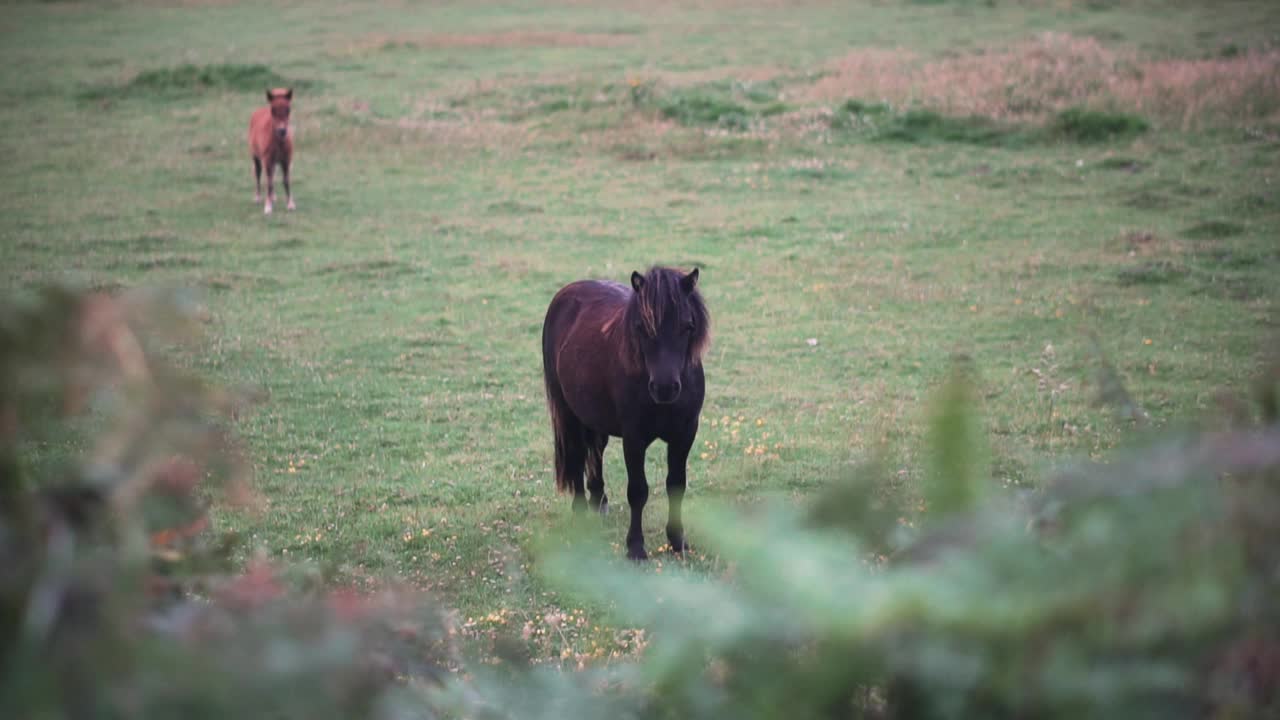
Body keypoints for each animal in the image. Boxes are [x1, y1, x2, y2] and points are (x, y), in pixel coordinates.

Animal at [535, 266, 706, 558]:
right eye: (641, 327)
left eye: (687, 326)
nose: (664, 388)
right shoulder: (634, 438)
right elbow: (638, 491)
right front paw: (636, 548)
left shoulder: (685, 434)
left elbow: (676, 485)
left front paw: (677, 540)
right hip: (569, 414)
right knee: (578, 454)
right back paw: (580, 512)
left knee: (596, 450)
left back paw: (599, 500)